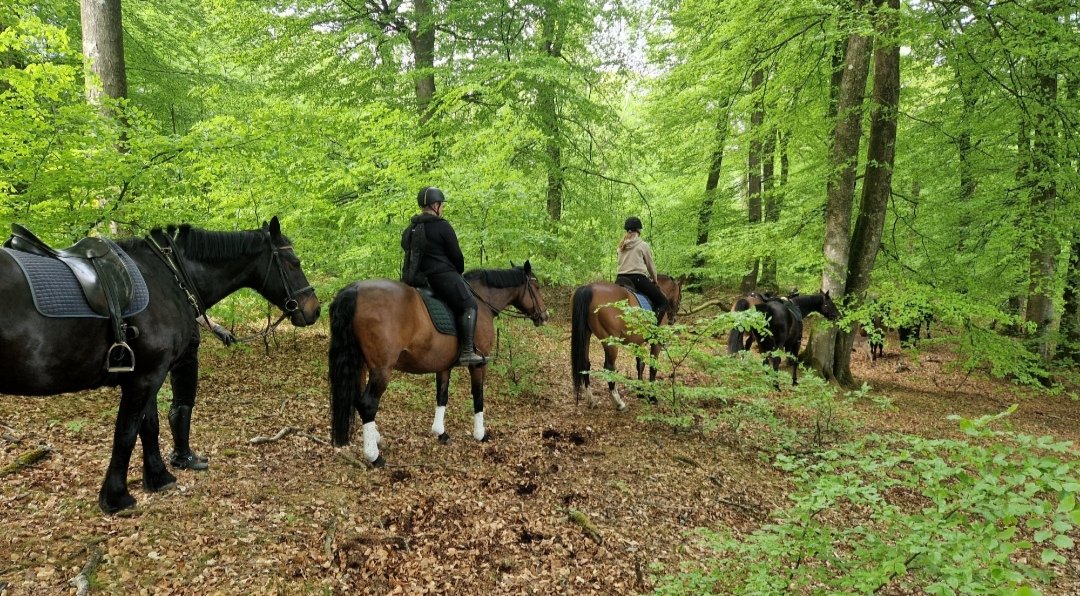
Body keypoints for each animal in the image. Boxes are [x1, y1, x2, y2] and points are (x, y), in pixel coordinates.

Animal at [0, 217, 321, 513]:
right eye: (294, 262)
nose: (314, 309)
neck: (168, 276)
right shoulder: (146, 377)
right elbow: (127, 432)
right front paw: (116, 498)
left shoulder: (149, 375)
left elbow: (149, 426)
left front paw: (158, 477)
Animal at [329, 261, 548, 466]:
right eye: (536, 286)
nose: (545, 316)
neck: (482, 301)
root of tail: (355, 289)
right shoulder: (479, 364)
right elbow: (478, 396)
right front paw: (480, 434)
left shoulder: (443, 365)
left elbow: (442, 395)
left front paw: (440, 432)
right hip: (381, 369)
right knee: (368, 404)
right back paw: (374, 456)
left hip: (362, 365)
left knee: (357, 398)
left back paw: (374, 438)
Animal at [569, 274, 683, 410]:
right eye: (680, 296)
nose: (673, 319)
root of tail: (588, 288)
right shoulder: (656, 343)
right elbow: (652, 367)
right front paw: (652, 397)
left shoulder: (638, 342)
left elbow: (640, 365)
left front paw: (640, 391)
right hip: (610, 340)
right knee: (609, 367)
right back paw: (618, 402)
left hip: (586, 334)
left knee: (585, 364)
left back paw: (591, 400)